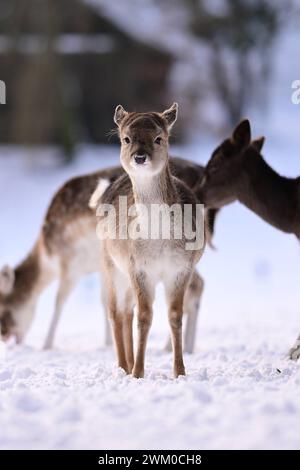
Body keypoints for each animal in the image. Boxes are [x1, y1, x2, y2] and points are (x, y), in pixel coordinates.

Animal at [0, 156, 213, 350]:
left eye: (5, 309)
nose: (5, 336)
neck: (47, 257)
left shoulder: (71, 264)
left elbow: (59, 301)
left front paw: (46, 345)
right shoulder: (103, 267)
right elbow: (106, 300)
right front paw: (108, 343)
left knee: (195, 287)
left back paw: (175, 347)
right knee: (196, 286)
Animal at [91, 103, 207, 378]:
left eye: (158, 138)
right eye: (126, 138)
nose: (140, 157)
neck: (160, 242)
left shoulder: (181, 268)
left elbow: (174, 315)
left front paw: (179, 371)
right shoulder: (139, 267)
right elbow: (144, 317)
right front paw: (138, 372)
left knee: (126, 311)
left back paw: (127, 363)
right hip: (110, 264)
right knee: (116, 311)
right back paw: (123, 366)